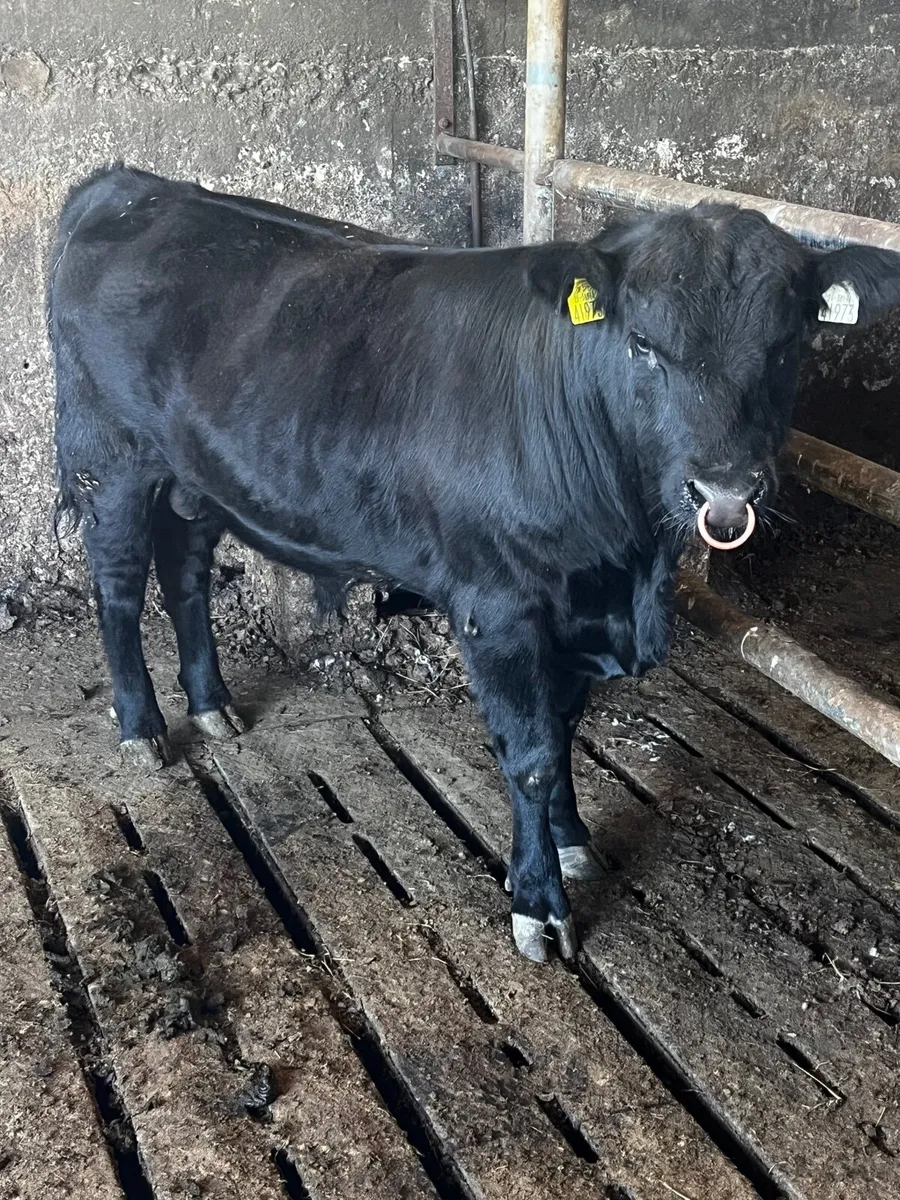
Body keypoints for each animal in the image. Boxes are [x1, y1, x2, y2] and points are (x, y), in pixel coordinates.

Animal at [49, 165, 900, 962]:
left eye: (786, 346)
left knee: (185, 576)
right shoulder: (500, 607)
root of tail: (133, 185)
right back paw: (141, 727)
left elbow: (562, 733)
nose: (725, 488)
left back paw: (210, 705)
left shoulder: (577, 608)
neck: (625, 564)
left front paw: (573, 841)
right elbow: (529, 755)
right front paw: (539, 903)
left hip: (194, 479)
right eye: (643, 344)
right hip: (109, 458)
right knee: (119, 586)